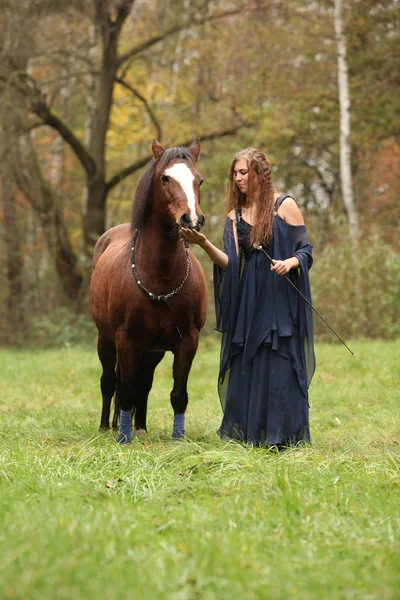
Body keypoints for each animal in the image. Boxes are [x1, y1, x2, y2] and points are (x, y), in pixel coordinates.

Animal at [89, 138, 208, 442]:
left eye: (199, 179)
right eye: (165, 178)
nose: (192, 219)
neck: (160, 277)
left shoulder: (187, 341)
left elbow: (178, 394)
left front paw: (178, 438)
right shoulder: (125, 339)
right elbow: (125, 390)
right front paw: (123, 437)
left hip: (153, 350)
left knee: (144, 383)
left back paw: (140, 426)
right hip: (106, 340)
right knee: (109, 382)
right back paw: (106, 427)